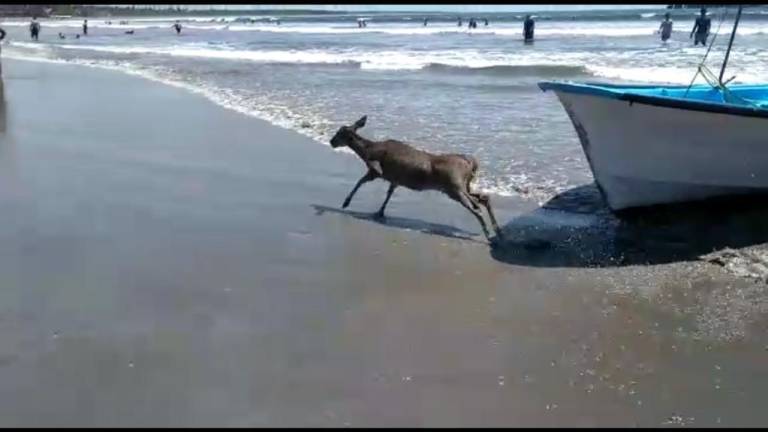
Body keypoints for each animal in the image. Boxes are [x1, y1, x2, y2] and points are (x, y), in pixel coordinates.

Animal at [330, 115, 504, 243]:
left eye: (340, 133)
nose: (331, 142)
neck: (368, 151)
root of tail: (471, 163)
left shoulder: (376, 171)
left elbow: (359, 182)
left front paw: (346, 203)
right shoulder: (394, 178)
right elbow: (388, 194)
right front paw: (380, 212)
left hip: (454, 186)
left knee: (476, 206)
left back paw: (489, 236)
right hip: (463, 186)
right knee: (483, 198)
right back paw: (498, 232)